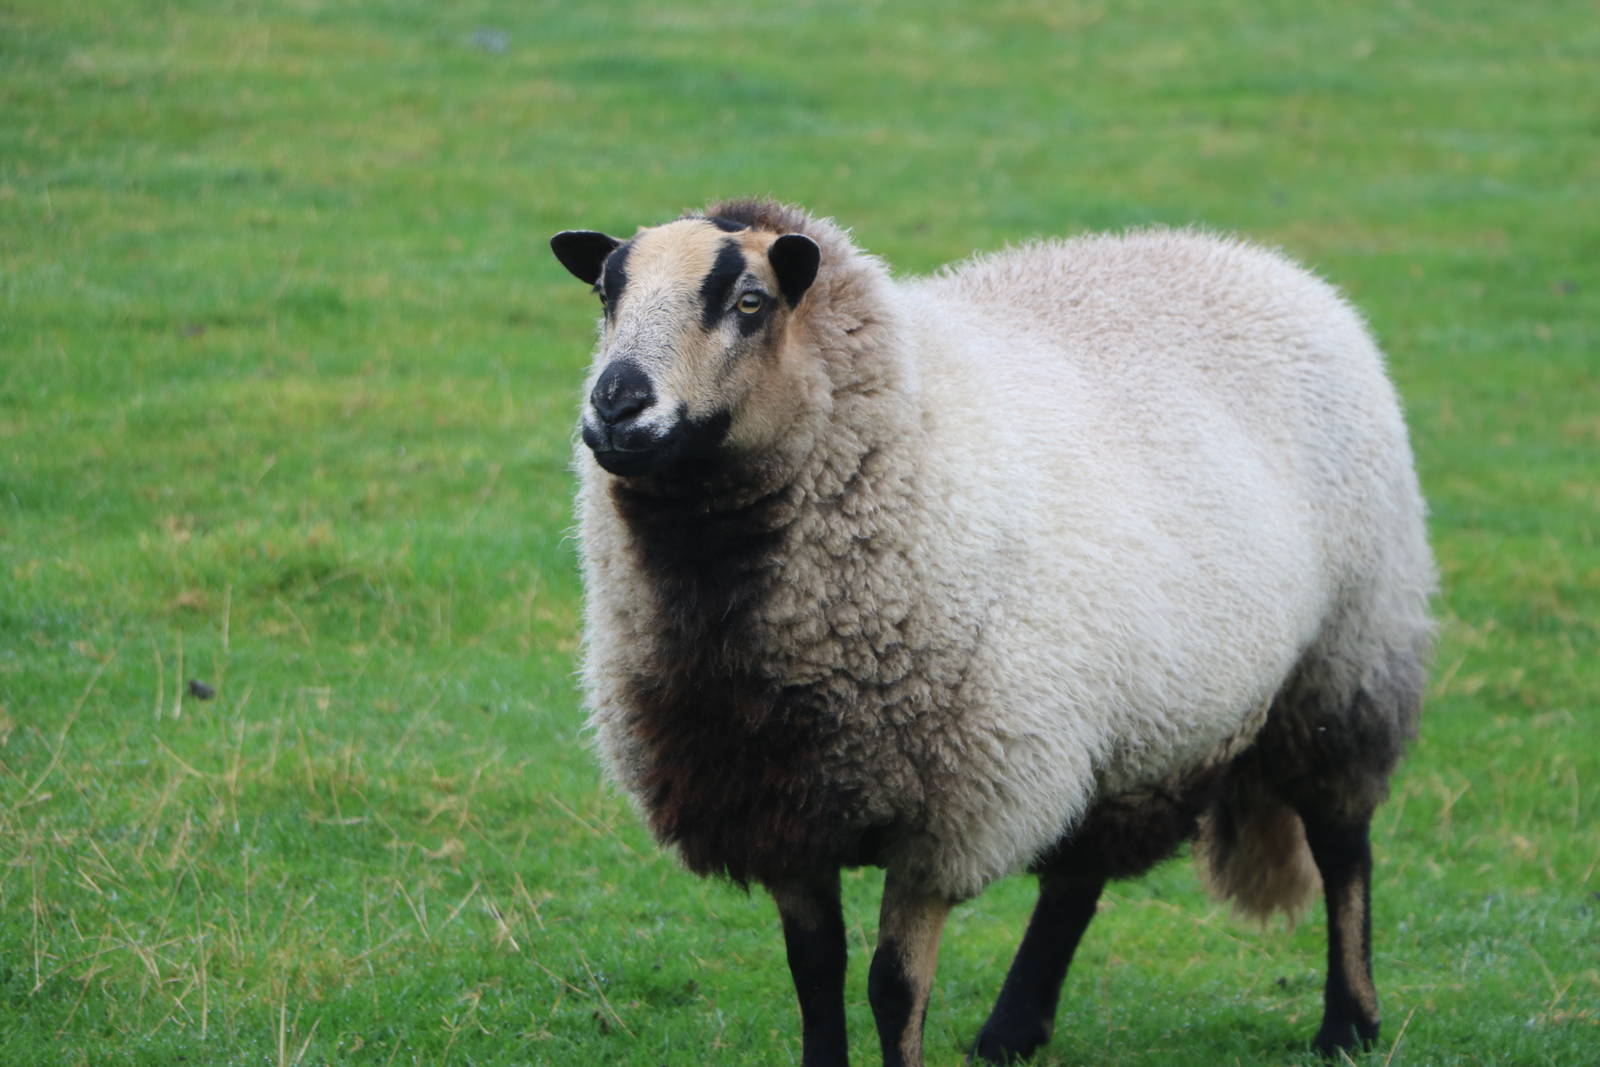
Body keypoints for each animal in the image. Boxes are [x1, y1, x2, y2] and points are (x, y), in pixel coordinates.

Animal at [549, 199, 1434, 1067]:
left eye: (748, 302)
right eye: (606, 293)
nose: (616, 404)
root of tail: (1254, 258)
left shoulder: (948, 813)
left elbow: (893, 985)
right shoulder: (779, 802)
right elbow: (816, 970)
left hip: (1347, 655)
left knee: (1342, 844)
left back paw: (1350, 1022)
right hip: (1122, 722)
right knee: (1077, 875)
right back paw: (1013, 1028)